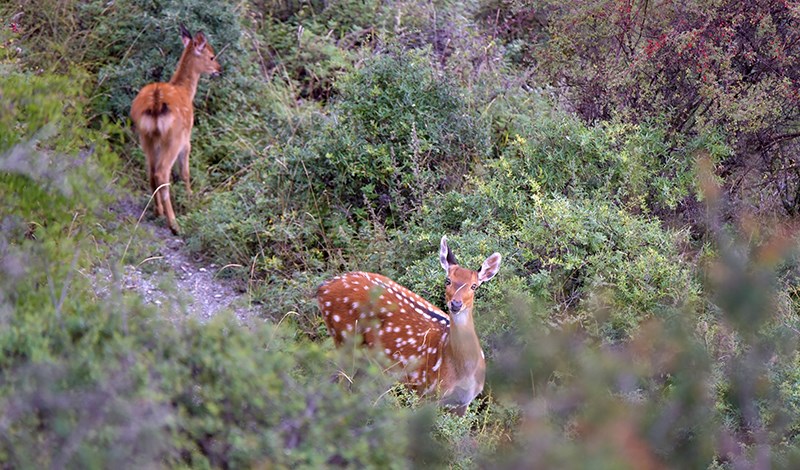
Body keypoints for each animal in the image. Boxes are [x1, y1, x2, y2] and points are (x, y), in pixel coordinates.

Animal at [130, 23, 222, 233]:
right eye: (211, 56)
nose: (219, 70)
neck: (186, 91)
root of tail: (156, 104)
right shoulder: (186, 140)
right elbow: (185, 172)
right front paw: (190, 197)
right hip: (172, 140)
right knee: (162, 173)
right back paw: (174, 224)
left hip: (146, 137)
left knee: (151, 171)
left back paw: (158, 211)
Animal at [318, 237, 500, 414]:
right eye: (448, 280)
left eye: (474, 286)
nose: (456, 304)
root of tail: (323, 287)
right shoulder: (423, 390)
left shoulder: (463, 403)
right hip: (343, 336)